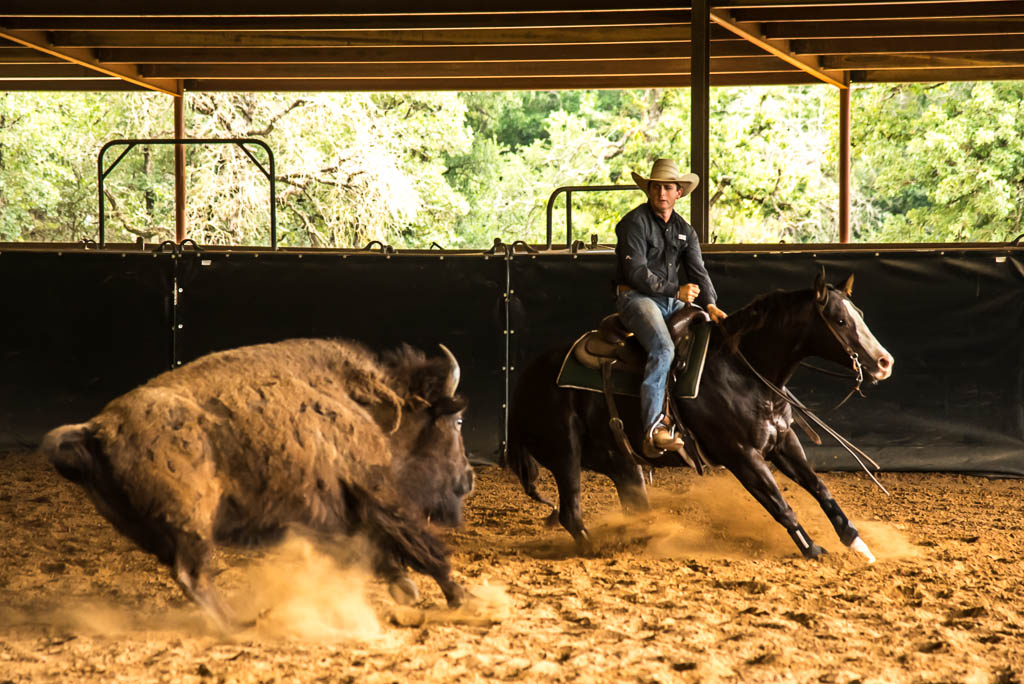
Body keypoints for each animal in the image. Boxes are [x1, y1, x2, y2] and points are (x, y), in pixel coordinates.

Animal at [505, 272, 894, 562]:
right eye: (840, 320)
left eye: (860, 314)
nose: (884, 362)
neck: (743, 371)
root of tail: (524, 379)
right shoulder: (742, 456)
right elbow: (780, 505)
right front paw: (812, 549)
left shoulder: (783, 443)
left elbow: (819, 488)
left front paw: (857, 543)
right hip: (564, 454)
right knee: (571, 512)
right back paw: (595, 548)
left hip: (621, 462)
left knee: (634, 504)